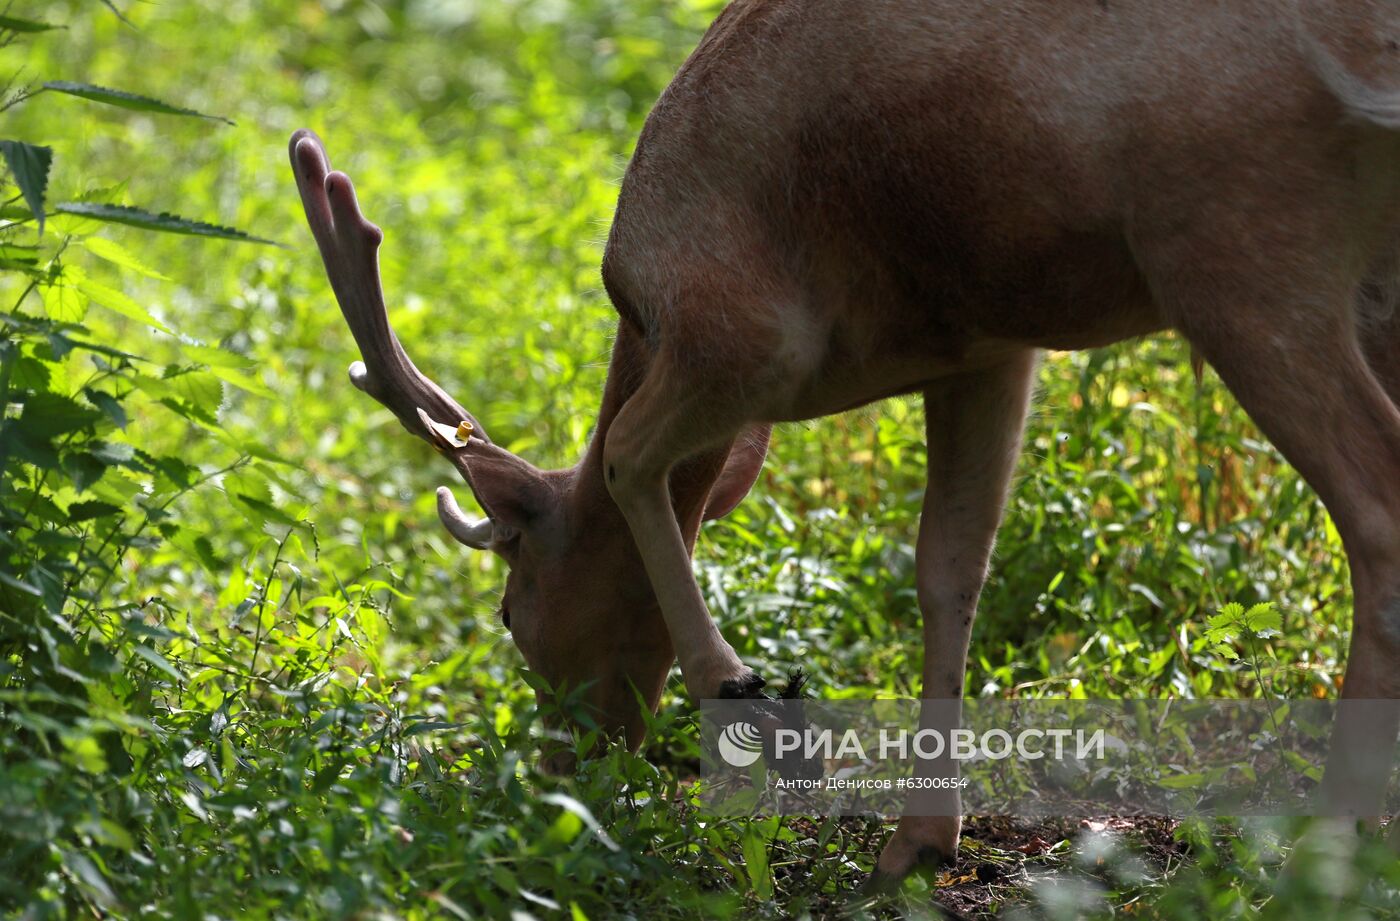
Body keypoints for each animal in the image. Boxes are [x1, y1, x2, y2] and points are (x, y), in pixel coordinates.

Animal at [289, 0, 1400, 879]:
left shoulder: (744, 335)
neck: (643, 314)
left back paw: (1330, 845)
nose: (563, 769)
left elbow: (625, 456)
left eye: (511, 613)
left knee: (1376, 511)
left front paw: (747, 702)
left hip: (1236, 235)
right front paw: (919, 840)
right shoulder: (985, 345)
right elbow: (949, 565)